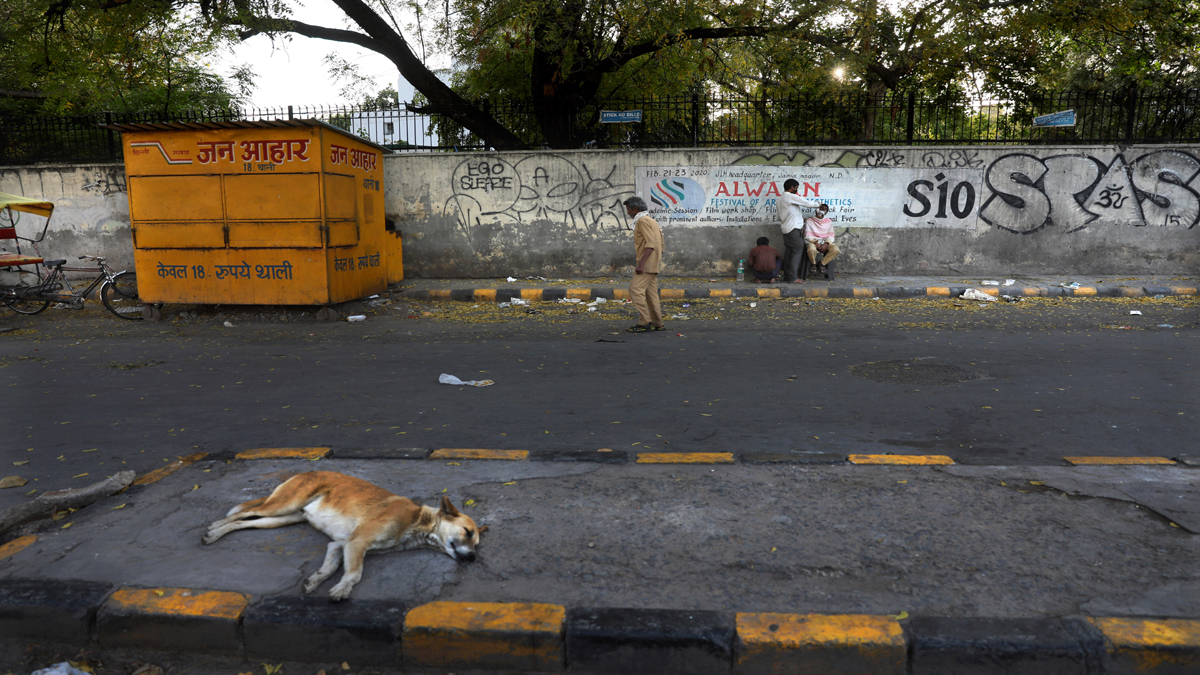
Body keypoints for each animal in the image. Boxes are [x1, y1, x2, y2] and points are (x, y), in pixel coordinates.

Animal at [202, 470, 487, 595]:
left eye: (476, 542)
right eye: (467, 532)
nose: (473, 558)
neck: (417, 521)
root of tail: (305, 470)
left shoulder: (340, 544)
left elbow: (329, 567)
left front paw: (315, 580)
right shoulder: (357, 542)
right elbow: (355, 573)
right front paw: (342, 589)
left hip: (282, 519)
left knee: (247, 523)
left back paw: (217, 532)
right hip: (284, 505)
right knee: (243, 512)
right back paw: (214, 528)